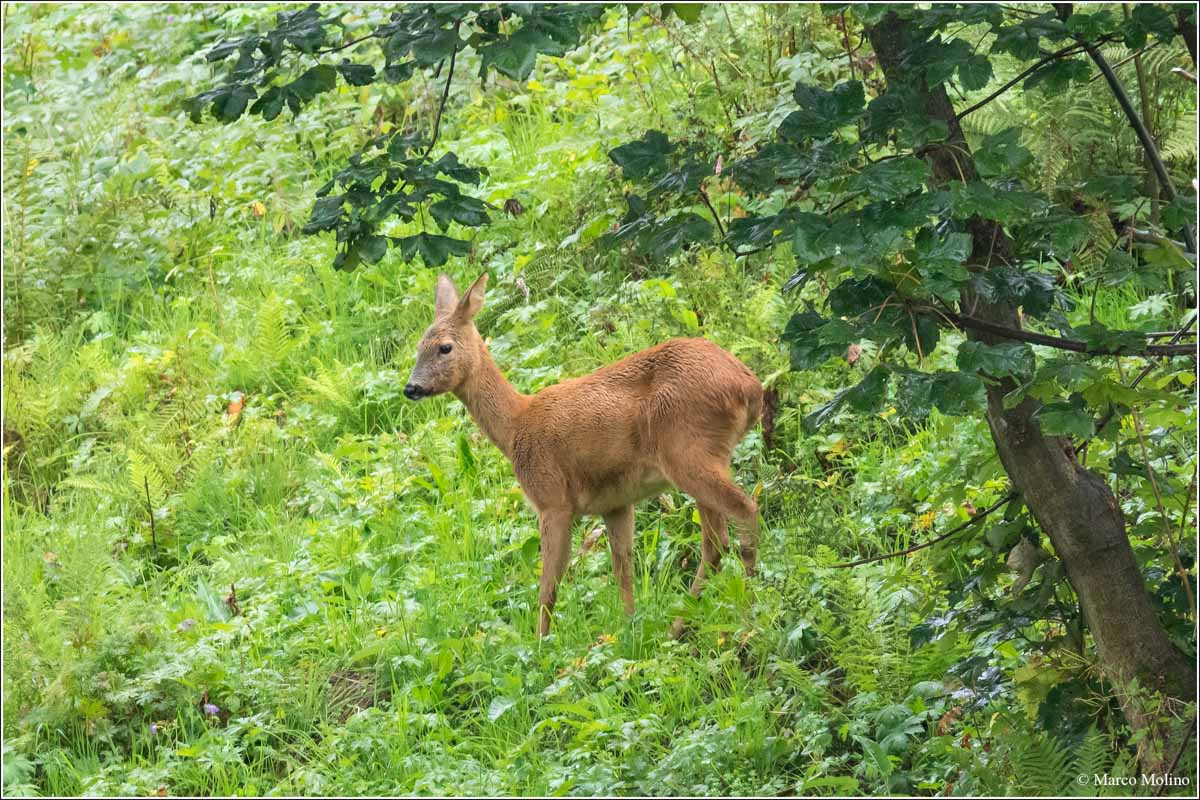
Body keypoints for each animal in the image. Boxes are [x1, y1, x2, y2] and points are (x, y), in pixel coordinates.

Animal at [403, 275, 758, 638]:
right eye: (418, 346)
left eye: (445, 347)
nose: (411, 388)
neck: (516, 426)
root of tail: (750, 387)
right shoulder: (616, 502)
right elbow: (623, 570)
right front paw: (628, 628)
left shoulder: (552, 499)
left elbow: (549, 585)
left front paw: (541, 643)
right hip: (705, 455)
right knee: (716, 542)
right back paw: (681, 626)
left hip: (688, 451)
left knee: (744, 513)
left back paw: (747, 615)